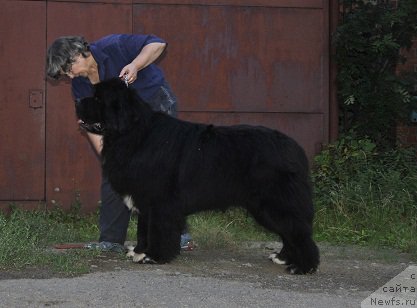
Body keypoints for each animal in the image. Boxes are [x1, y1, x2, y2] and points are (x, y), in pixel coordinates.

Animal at [75, 77, 318, 274]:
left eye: (97, 99)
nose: (77, 102)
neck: (133, 133)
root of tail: (295, 148)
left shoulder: (160, 202)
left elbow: (158, 229)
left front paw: (154, 256)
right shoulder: (144, 199)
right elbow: (143, 228)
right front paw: (140, 251)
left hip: (275, 203)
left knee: (298, 231)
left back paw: (302, 266)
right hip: (265, 207)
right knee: (289, 231)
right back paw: (282, 257)